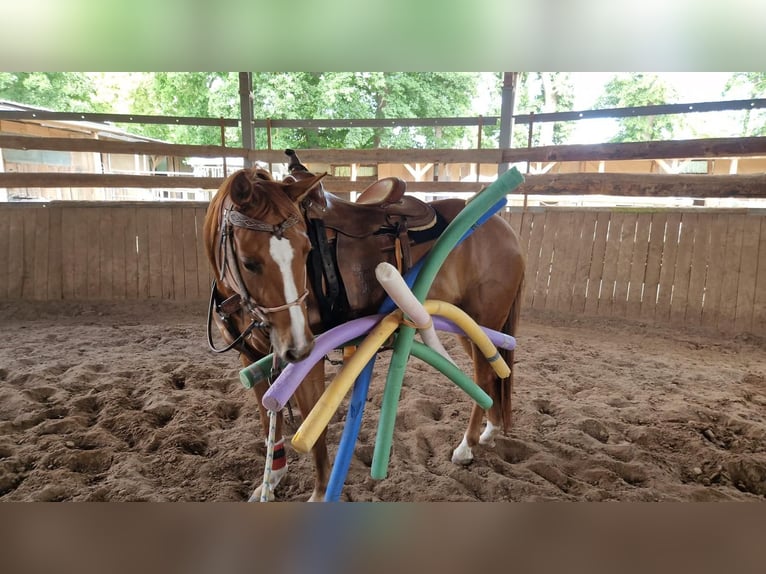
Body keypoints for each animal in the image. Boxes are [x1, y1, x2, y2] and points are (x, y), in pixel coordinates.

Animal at [203, 150, 525, 501]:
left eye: (306, 250)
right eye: (250, 262)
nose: (298, 346)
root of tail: (506, 230)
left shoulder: (309, 361)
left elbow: (314, 428)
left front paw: (319, 492)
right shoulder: (250, 357)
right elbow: (267, 423)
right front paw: (270, 481)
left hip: (481, 320)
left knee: (483, 375)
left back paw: (466, 446)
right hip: (473, 330)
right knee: (492, 372)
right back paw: (490, 431)